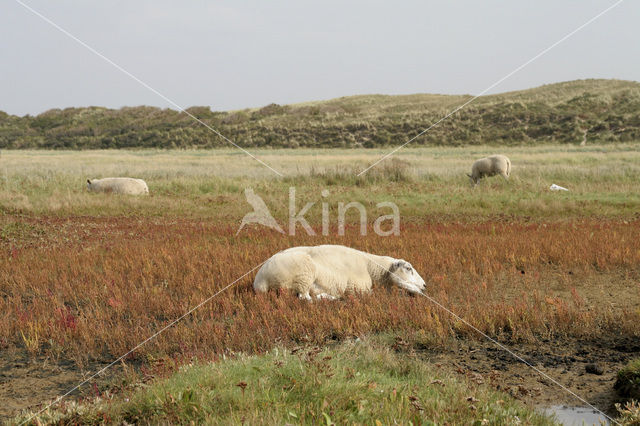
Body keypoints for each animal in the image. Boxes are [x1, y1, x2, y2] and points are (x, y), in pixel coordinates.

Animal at [252, 245, 428, 302]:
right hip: (303, 275)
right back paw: (330, 297)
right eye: (408, 268)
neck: (371, 267)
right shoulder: (358, 288)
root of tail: (260, 280)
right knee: (305, 298)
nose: (425, 285)